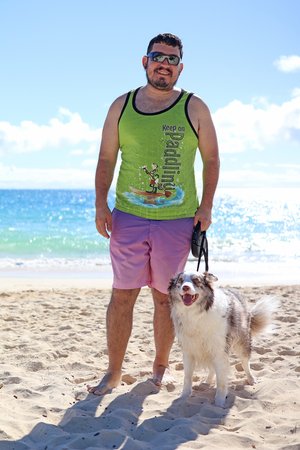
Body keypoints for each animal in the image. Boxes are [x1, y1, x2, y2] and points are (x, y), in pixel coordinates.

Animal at [169, 270, 278, 408]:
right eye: (180, 281)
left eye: (196, 281)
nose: (185, 287)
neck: (196, 314)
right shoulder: (189, 351)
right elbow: (187, 377)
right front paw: (184, 397)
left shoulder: (220, 350)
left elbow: (221, 379)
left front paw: (219, 402)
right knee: (212, 368)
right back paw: (207, 381)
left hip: (241, 343)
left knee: (245, 363)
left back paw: (251, 379)